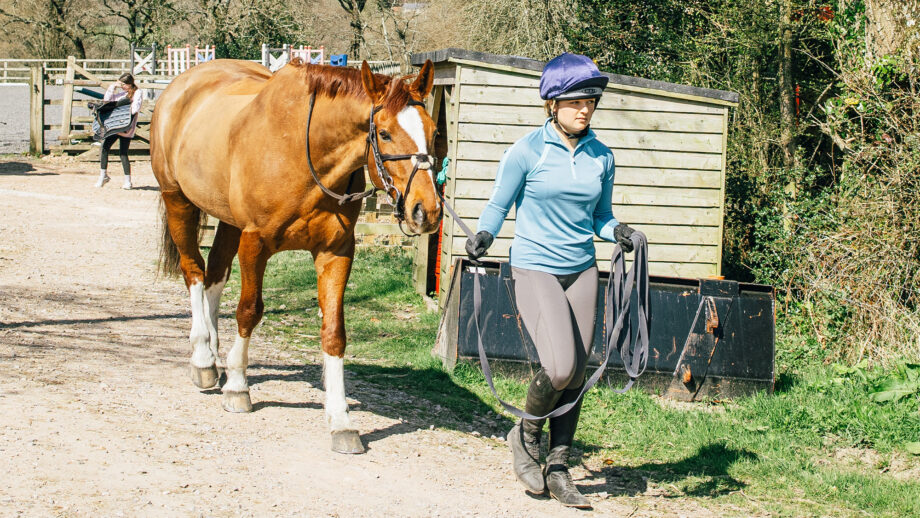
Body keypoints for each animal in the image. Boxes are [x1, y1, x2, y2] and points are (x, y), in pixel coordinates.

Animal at [150, 58, 441, 454]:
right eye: (384, 133)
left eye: (433, 131)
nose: (426, 210)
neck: (304, 155)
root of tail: (181, 84)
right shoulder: (255, 242)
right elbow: (249, 311)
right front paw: (238, 387)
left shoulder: (335, 252)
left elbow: (334, 332)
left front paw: (340, 420)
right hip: (177, 199)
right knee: (194, 272)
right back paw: (204, 359)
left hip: (227, 220)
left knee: (214, 277)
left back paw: (213, 349)